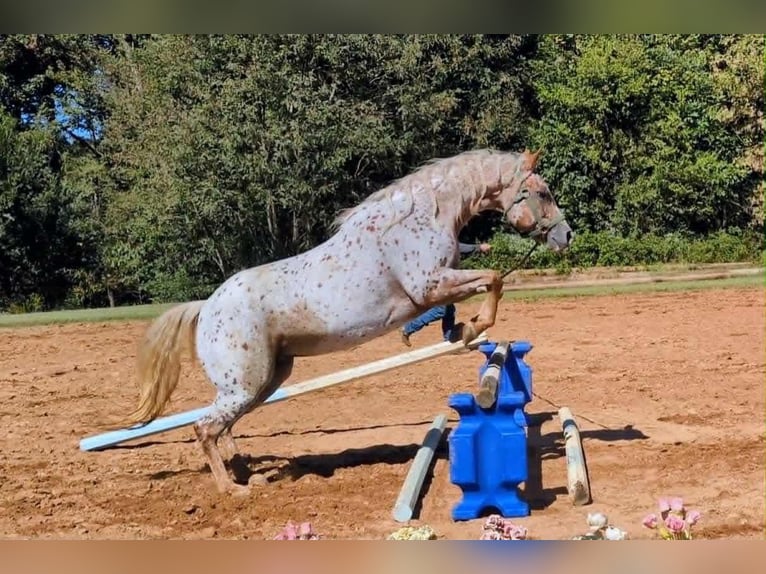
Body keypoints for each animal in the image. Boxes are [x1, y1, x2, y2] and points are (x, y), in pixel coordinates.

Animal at [124, 148, 573, 495]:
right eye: (542, 193)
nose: (565, 236)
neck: (423, 216)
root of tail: (206, 308)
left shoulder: (438, 287)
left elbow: (484, 286)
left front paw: (460, 329)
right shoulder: (429, 286)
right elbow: (494, 279)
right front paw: (472, 327)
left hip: (266, 380)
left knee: (223, 427)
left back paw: (249, 473)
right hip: (246, 383)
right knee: (205, 428)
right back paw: (232, 489)